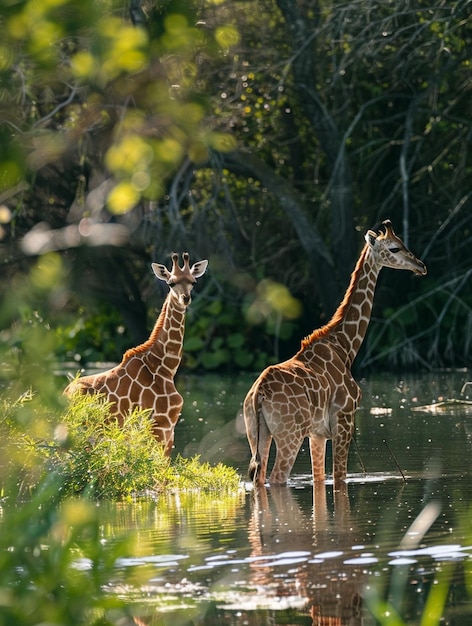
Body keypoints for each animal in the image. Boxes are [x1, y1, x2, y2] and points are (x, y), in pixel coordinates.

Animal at [64, 252, 206, 454]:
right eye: (171, 283)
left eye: (193, 282)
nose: (185, 298)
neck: (166, 366)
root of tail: (65, 394)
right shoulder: (161, 425)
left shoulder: (167, 429)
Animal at [243, 222, 428, 486]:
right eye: (394, 248)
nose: (420, 266)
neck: (345, 346)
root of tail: (258, 394)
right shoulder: (344, 421)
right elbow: (339, 477)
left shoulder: (317, 434)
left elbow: (320, 478)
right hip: (290, 436)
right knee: (277, 477)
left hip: (257, 435)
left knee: (259, 478)